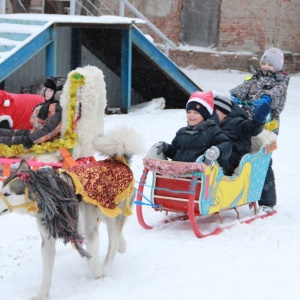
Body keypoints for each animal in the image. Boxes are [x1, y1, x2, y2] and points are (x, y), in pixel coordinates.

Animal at [0, 127, 144, 300]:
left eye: (7, 194)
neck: (53, 197)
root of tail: (118, 160)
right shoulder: (47, 241)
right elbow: (46, 273)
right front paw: (42, 294)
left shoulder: (89, 233)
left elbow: (91, 261)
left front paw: (100, 272)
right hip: (104, 211)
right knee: (117, 235)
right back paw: (122, 245)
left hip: (110, 213)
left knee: (112, 244)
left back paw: (107, 264)